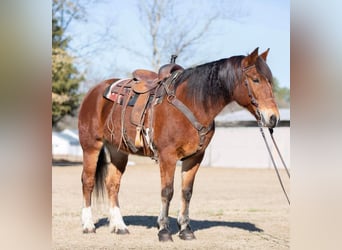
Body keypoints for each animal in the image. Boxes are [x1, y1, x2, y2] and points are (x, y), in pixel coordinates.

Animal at [78, 47, 280, 241]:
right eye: (255, 79)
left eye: (270, 81)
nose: (273, 118)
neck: (193, 104)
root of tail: (94, 91)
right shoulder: (168, 157)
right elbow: (167, 192)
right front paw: (163, 231)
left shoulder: (195, 158)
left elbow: (186, 192)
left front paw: (185, 230)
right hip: (91, 146)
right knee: (88, 181)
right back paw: (88, 225)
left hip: (118, 151)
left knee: (113, 184)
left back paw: (119, 226)